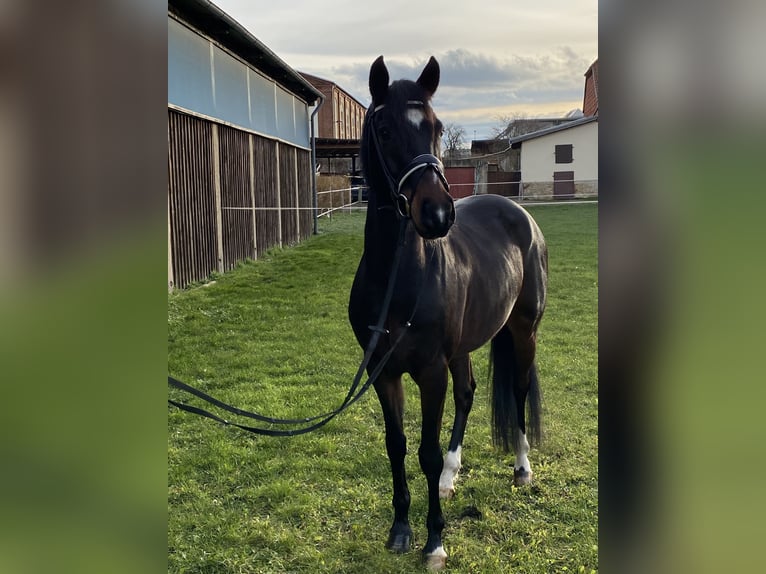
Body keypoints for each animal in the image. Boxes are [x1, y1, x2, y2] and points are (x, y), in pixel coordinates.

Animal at [352, 55, 548, 572]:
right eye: (384, 128)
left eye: (437, 127)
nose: (438, 214)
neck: (398, 277)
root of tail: (521, 217)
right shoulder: (385, 373)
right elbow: (398, 447)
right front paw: (401, 529)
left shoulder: (429, 372)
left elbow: (426, 452)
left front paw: (435, 541)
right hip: (463, 347)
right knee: (468, 394)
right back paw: (451, 477)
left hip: (523, 332)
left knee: (517, 391)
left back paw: (522, 468)